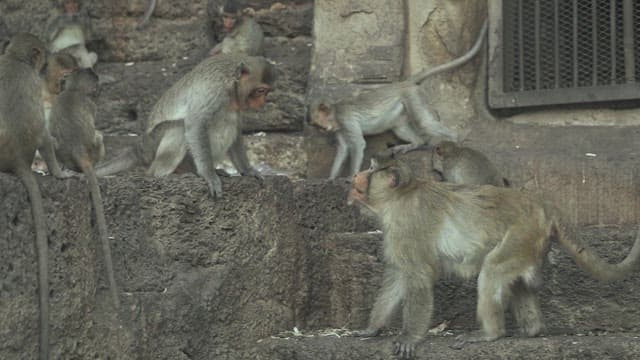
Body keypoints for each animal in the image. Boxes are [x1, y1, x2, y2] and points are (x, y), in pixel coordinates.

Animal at [95, 54, 276, 198]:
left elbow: (236, 129)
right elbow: (196, 123)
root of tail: (140, 147)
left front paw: (247, 170)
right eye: (260, 91)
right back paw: (164, 175)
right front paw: (208, 174)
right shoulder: (215, 91)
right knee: (179, 127)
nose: (262, 103)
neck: (233, 84)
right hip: (153, 144)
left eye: (267, 92)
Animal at [308, 19, 488, 179]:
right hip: (402, 110)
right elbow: (343, 149)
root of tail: (404, 83)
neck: (335, 112)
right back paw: (415, 144)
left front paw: (351, 177)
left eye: (318, 125)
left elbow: (358, 145)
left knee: (424, 123)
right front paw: (331, 179)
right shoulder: (339, 128)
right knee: (400, 127)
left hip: (413, 97)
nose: (322, 131)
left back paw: (455, 139)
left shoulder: (344, 119)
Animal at [348, 157, 640, 358]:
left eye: (372, 171)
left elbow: (419, 276)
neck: (399, 197)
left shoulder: (407, 225)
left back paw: (491, 334)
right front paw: (371, 329)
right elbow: (398, 277)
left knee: (492, 270)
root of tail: (542, 205)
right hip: (528, 244)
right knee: (516, 280)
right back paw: (532, 330)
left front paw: (409, 337)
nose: (356, 174)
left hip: (521, 234)